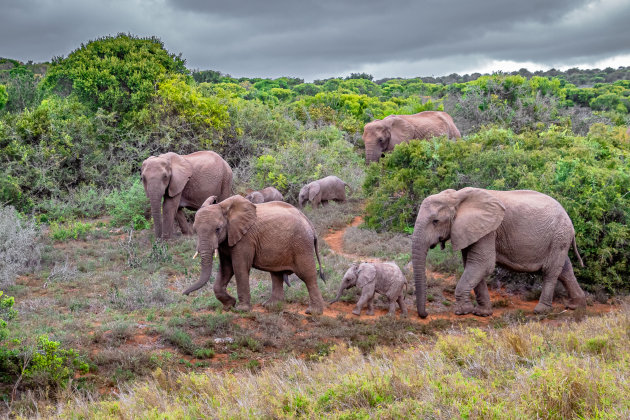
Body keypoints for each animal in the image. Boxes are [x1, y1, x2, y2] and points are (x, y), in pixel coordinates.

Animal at [184, 194, 326, 316]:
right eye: (195, 230)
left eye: (218, 229)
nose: (185, 293)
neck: (226, 209)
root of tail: (309, 223)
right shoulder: (227, 240)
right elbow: (226, 269)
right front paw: (229, 305)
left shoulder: (245, 239)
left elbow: (239, 267)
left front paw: (241, 309)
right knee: (276, 274)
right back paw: (270, 306)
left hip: (301, 244)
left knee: (307, 275)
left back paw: (313, 312)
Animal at [414, 188, 588, 318]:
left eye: (435, 221)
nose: (425, 315)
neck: (457, 197)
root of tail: (569, 220)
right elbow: (472, 265)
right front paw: (482, 313)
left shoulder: (489, 231)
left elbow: (482, 264)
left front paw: (462, 312)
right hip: (559, 239)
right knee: (565, 270)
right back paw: (576, 306)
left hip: (559, 236)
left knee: (550, 272)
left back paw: (541, 311)